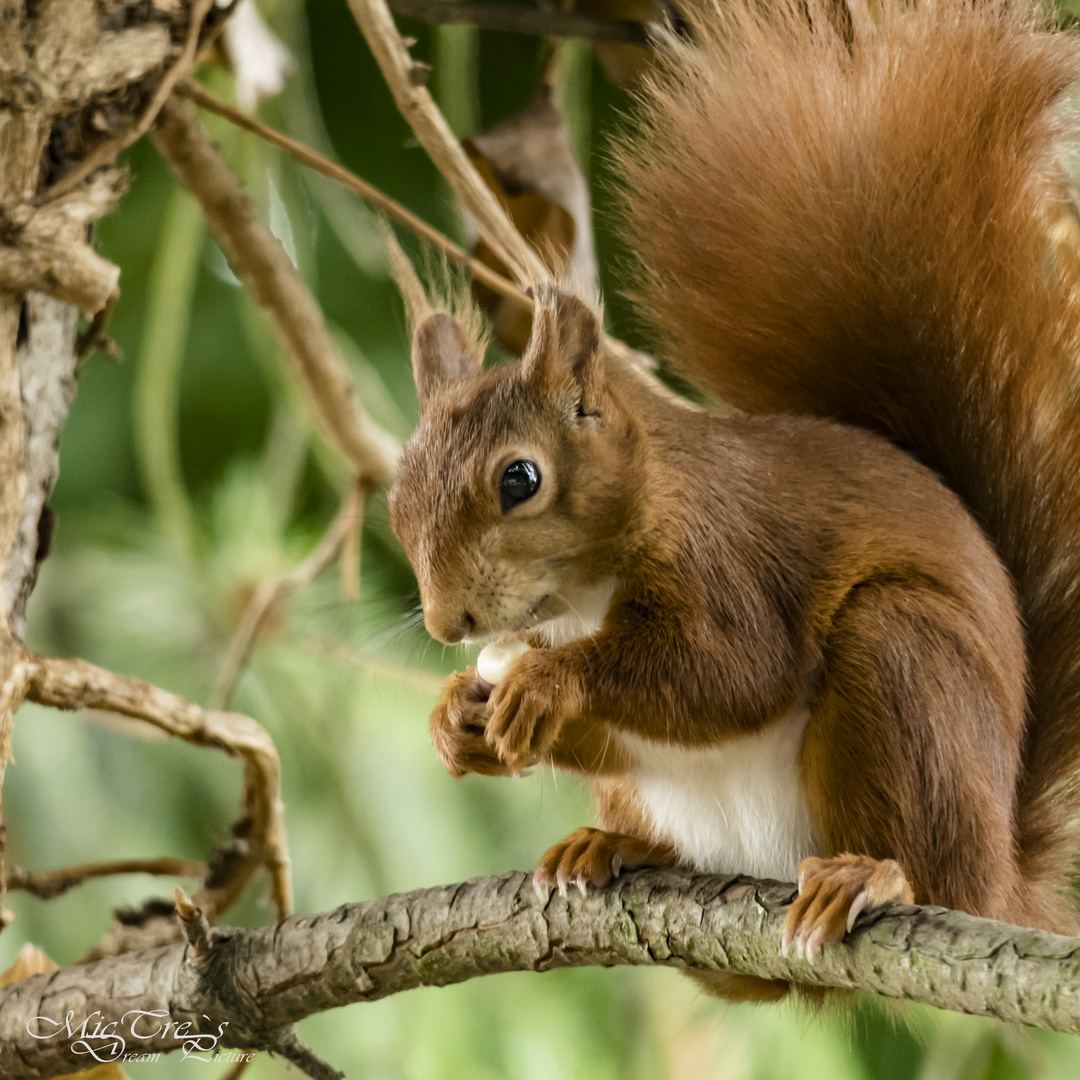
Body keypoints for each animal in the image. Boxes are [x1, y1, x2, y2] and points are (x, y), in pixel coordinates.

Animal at [388, 0, 1080, 1002]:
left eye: (520, 479)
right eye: (397, 496)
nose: (449, 624)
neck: (578, 599)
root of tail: (1004, 874)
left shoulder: (727, 555)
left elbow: (732, 670)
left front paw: (549, 681)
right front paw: (456, 715)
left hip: (906, 669)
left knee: (927, 863)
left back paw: (873, 875)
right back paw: (610, 844)